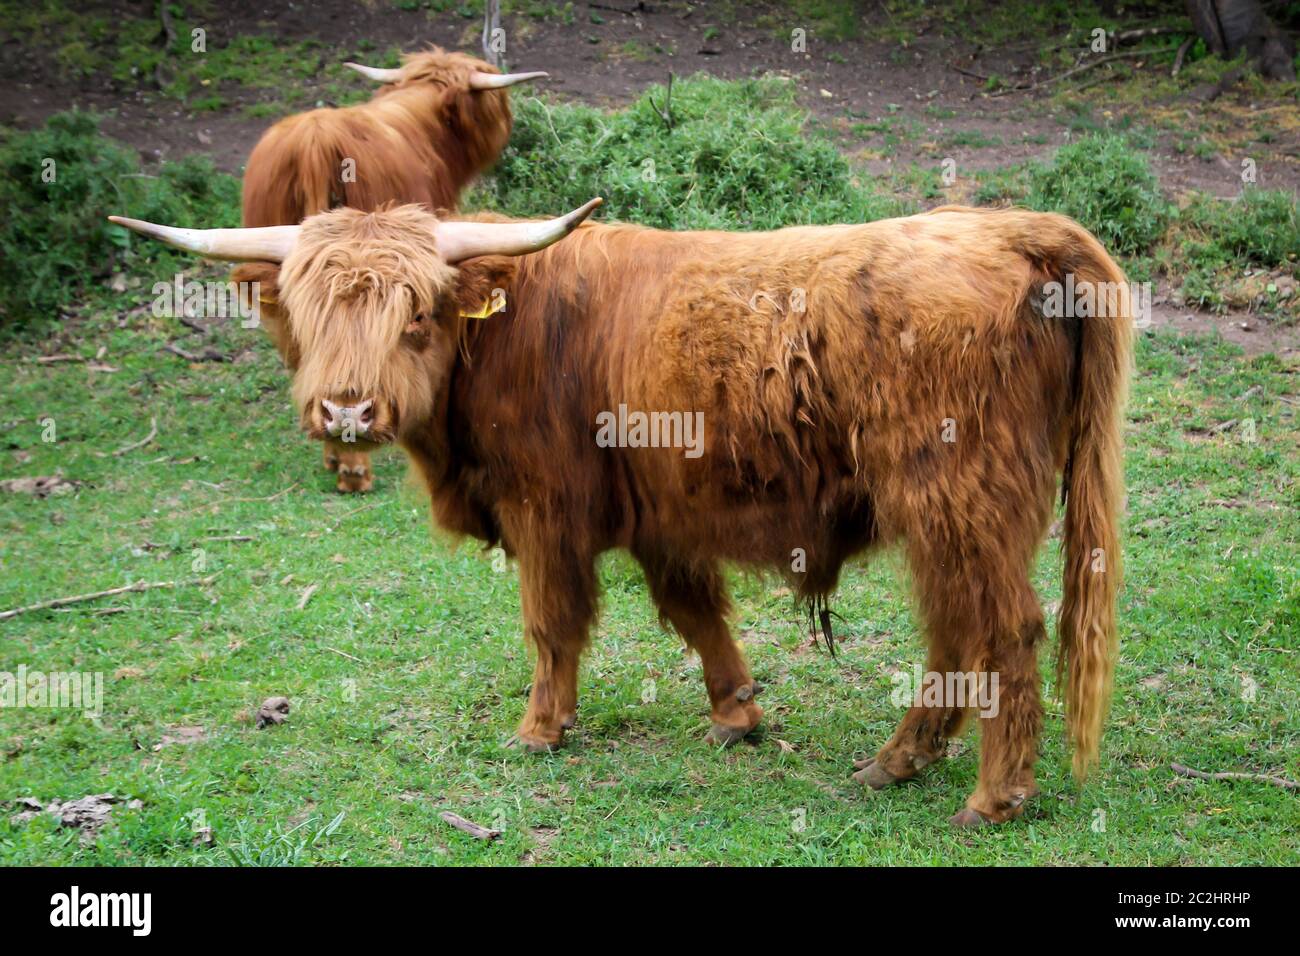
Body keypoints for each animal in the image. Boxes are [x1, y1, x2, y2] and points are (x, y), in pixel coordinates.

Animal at [109, 204, 1128, 832]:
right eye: (309, 308)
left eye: (416, 312)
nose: (348, 412)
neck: (500, 334)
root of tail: (1023, 229)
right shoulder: (658, 515)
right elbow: (695, 611)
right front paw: (736, 713)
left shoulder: (545, 511)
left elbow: (552, 623)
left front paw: (541, 730)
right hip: (948, 517)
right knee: (958, 629)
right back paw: (899, 761)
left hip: (957, 496)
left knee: (1005, 630)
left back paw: (994, 796)